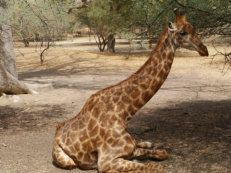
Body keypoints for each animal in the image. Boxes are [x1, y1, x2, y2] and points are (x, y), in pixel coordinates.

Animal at [52, 9, 209, 173]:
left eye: (194, 29)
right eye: (182, 32)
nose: (204, 50)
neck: (123, 114)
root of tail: (57, 131)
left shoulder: (129, 149)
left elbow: (163, 153)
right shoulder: (106, 161)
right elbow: (156, 166)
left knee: (139, 142)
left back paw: (148, 142)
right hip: (67, 161)